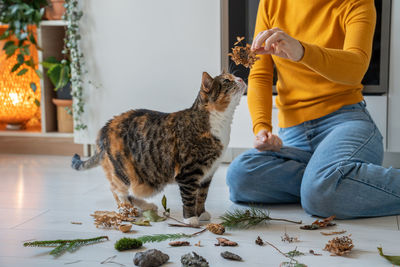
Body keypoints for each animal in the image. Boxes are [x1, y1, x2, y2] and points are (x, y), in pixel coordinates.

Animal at [72, 71, 247, 226]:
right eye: (227, 81)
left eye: (233, 76)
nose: (240, 78)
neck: (218, 122)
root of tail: (105, 129)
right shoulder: (188, 173)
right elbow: (190, 196)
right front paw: (191, 218)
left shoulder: (207, 174)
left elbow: (202, 195)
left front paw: (201, 213)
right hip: (125, 172)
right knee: (117, 189)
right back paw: (126, 209)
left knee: (129, 192)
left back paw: (146, 205)